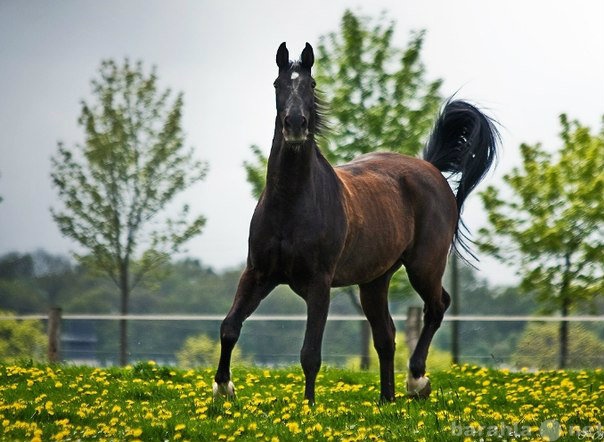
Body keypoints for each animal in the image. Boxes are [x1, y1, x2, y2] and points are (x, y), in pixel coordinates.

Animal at [215, 42, 498, 404]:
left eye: (311, 84)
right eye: (277, 84)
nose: (295, 125)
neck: (290, 205)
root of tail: (431, 169)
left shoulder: (319, 284)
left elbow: (310, 353)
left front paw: (308, 406)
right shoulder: (258, 274)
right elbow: (229, 327)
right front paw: (223, 389)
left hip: (424, 266)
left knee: (437, 307)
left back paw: (416, 381)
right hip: (374, 281)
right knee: (386, 335)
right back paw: (386, 400)